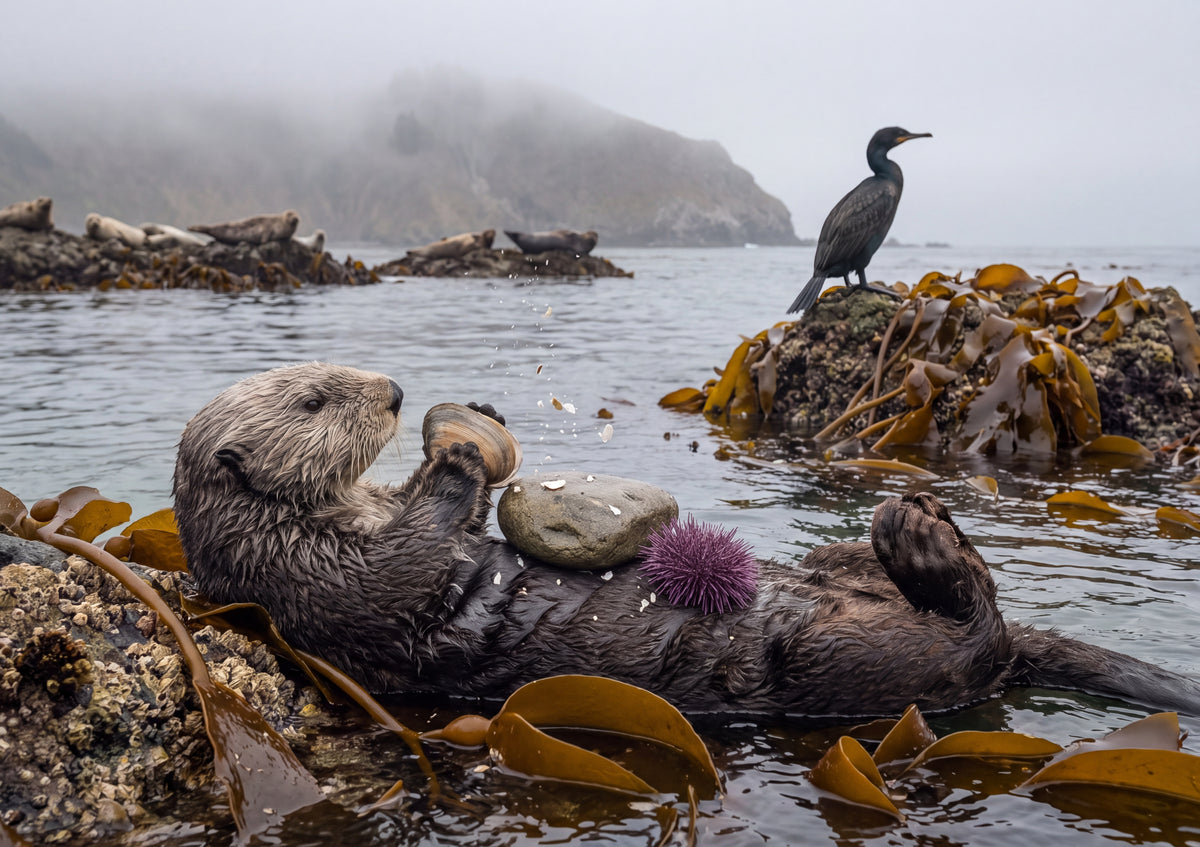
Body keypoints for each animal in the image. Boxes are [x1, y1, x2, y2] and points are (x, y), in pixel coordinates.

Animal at [173, 363, 1200, 719]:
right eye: (314, 399)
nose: (390, 392)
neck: (345, 514)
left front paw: (473, 421)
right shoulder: (320, 588)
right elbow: (409, 563)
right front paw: (460, 452)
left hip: (837, 588)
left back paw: (910, 522)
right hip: (846, 660)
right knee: (970, 639)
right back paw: (918, 536)